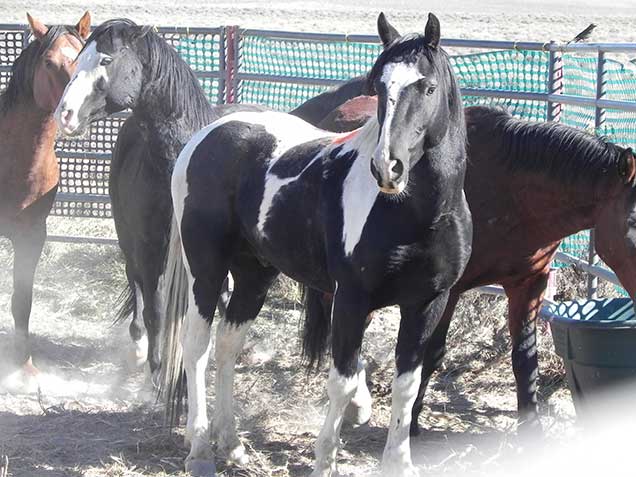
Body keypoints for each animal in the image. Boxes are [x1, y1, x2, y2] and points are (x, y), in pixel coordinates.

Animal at [161, 13, 472, 474]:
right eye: (377, 87)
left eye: (428, 87)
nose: (388, 167)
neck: (418, 215)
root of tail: (205, 136)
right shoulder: (351, 300)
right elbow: (341, 382)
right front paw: (325, 460)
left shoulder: (428, 303)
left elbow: (407, 385)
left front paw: (397, 462)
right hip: (206, 269)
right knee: (197, 347)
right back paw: (200, 449)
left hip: (254, 274)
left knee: (229, 345)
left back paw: (231, 443)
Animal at [316, 97, 636, 436]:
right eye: (632, 226)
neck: (510, 193)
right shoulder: (447, 289)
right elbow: (431, 353)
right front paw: (411, 421)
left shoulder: (530, 283)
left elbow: (525, 356)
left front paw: (531, 428)